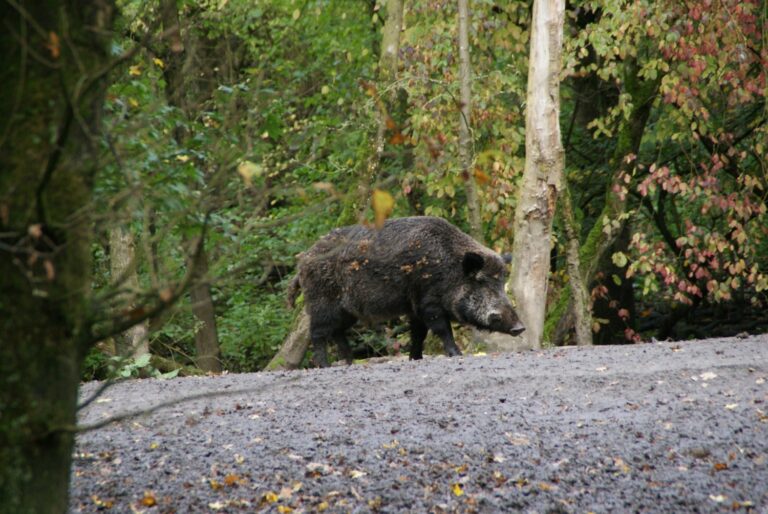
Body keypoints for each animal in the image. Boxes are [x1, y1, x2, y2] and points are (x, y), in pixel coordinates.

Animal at [287, 216, 525, 367]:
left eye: (501, 282)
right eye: (481, 281)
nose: (520, 327)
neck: (449, 270)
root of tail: (303, 262)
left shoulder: (415, 307)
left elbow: (418, 333)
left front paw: (416, 359)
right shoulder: (429, 303)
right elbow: (442, 329)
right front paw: (457, 354)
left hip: (347, 312)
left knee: (337, 332)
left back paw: (350, 363)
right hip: (321, 303)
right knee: (318, 333)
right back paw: (326, 366)